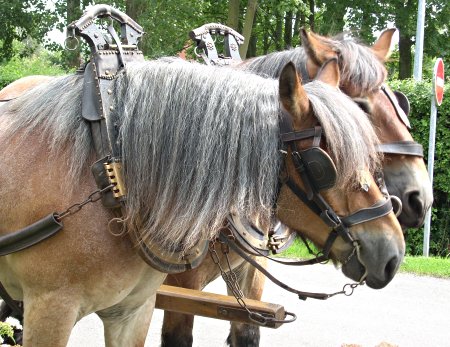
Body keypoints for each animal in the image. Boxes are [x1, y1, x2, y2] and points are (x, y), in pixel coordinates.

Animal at [161, 27, 432, 347]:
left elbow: (247, 332)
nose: (421, 198)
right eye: (359, 107)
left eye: (400, 104)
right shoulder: (178, 287)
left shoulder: (251, 275)